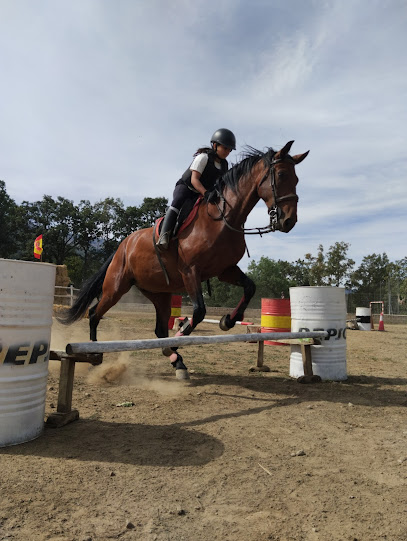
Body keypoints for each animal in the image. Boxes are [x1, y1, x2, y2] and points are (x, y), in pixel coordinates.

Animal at [59, 140, 310, 376]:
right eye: (281, 175)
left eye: (297, 178)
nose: (289, 221)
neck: (223, 218)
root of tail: (123, 245)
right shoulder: (191, 270)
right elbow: (199, 311)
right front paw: (181, 335)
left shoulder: (225, 270)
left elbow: (249, 288)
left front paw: (227, 321)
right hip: (116, 287)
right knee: (94, 314)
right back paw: (94, 354)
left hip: (159, 293)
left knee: (159, 329)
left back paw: (176, 361)